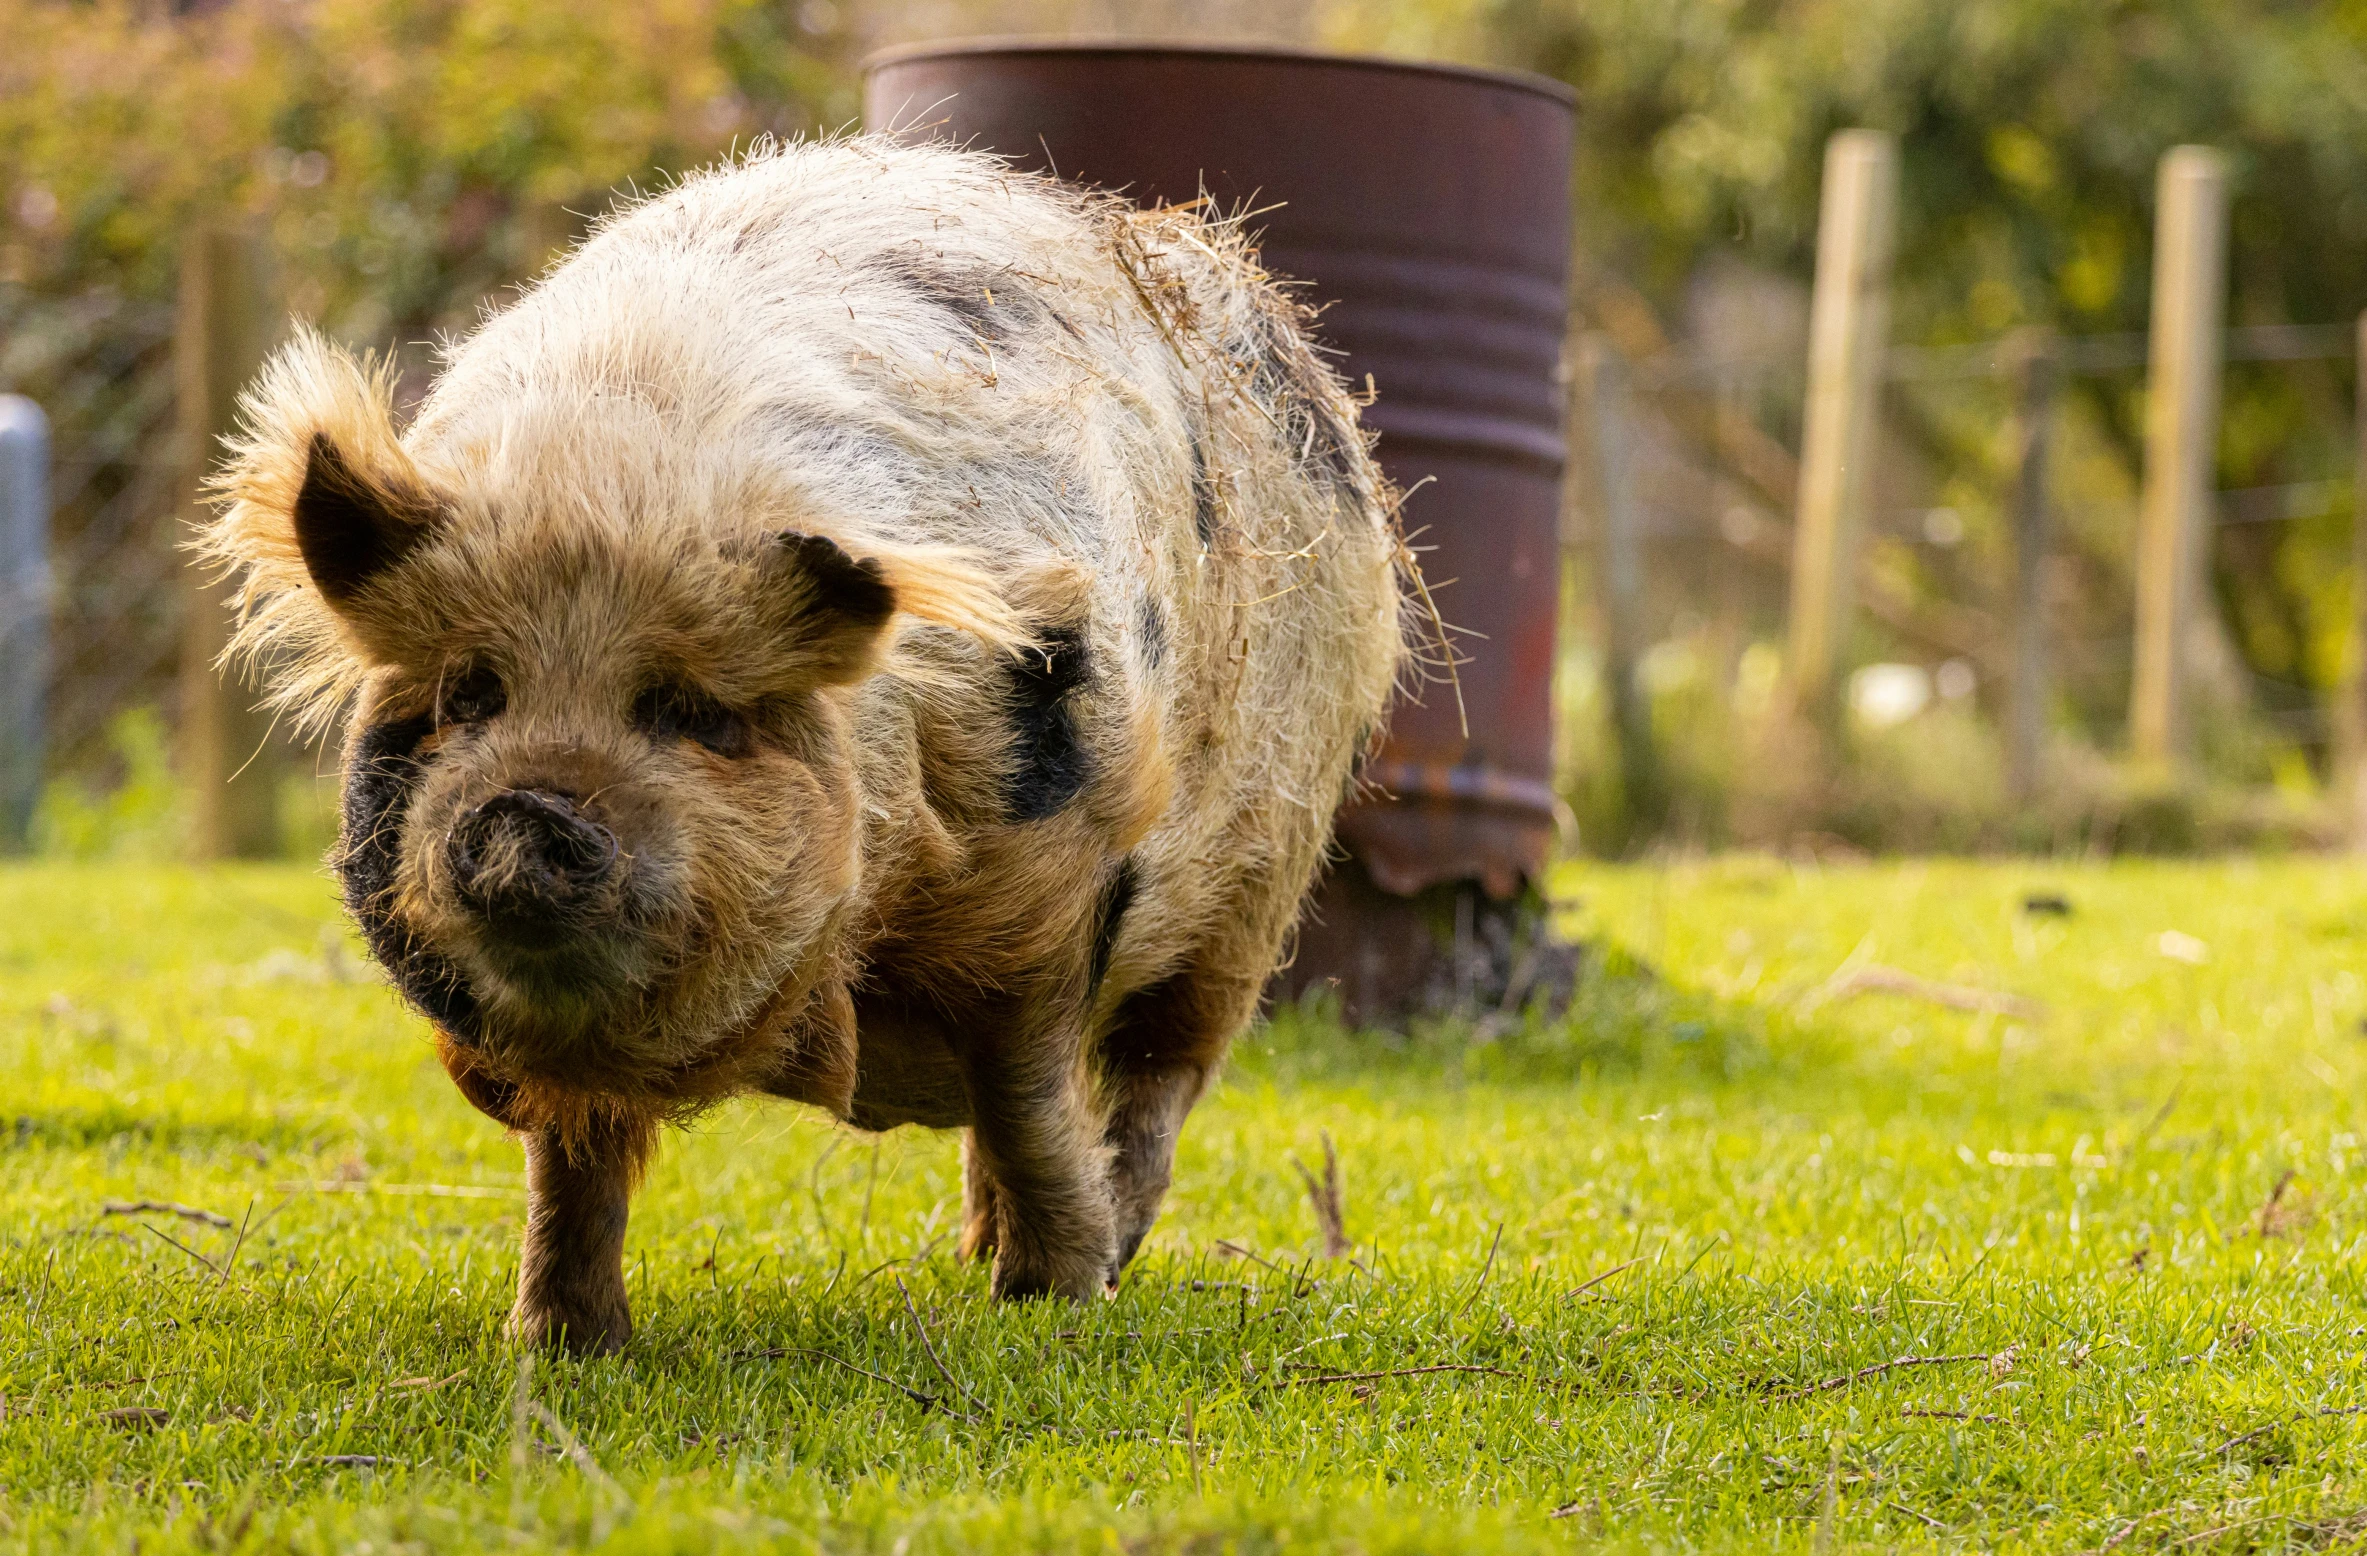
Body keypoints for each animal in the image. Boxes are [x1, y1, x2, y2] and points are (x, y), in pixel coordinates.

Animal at [208, 139, 1401, 1354]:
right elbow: (571, 1162)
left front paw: (1055, 1301)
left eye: (690, 712)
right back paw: (974, 1251)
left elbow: (1027, 1094)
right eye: (469, 694)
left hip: (1257, 889)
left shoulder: (1052, 885)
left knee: (1154, 1083)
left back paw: (1094, 1252)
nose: (526, 812)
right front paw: (559, 1342)